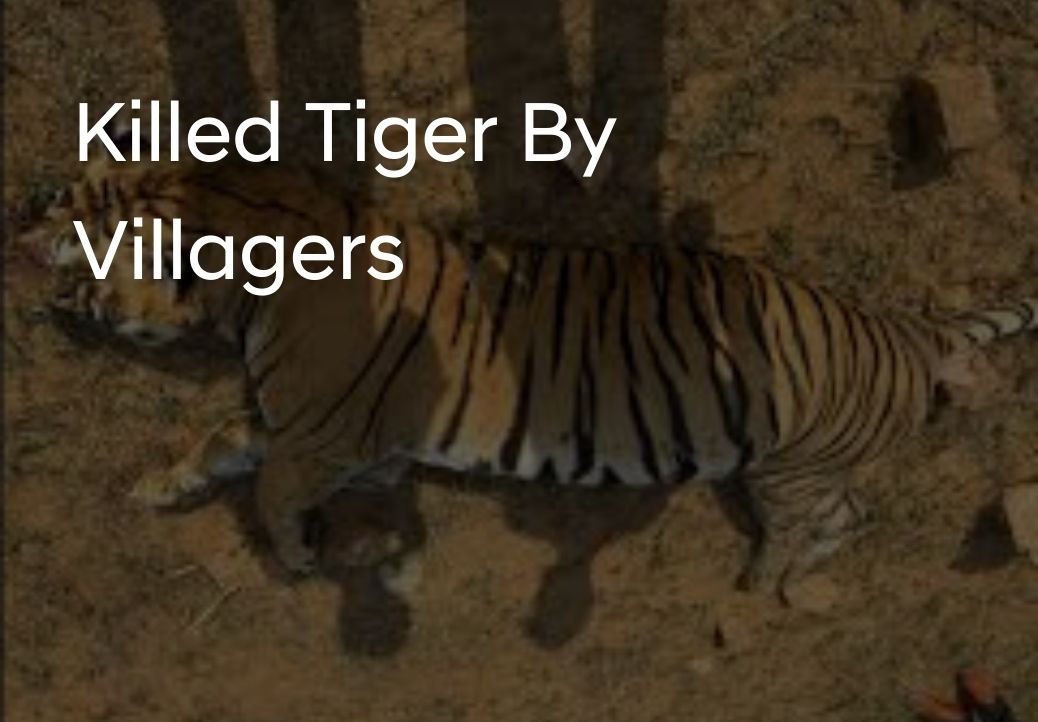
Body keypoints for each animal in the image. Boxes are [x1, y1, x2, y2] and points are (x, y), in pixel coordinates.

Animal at [25, 152, 1037, 597]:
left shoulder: (324, 436)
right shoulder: (302, 427)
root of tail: (899, 326)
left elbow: (270, 487)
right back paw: (788, 575)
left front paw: (301, 556)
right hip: (797, 468)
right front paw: (158, 488)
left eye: (81, 218)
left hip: (789, 467)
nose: (22, 210)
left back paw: (762, 581)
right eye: (75, 189)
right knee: (852, 515)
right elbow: (221, 445)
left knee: (817, 522)